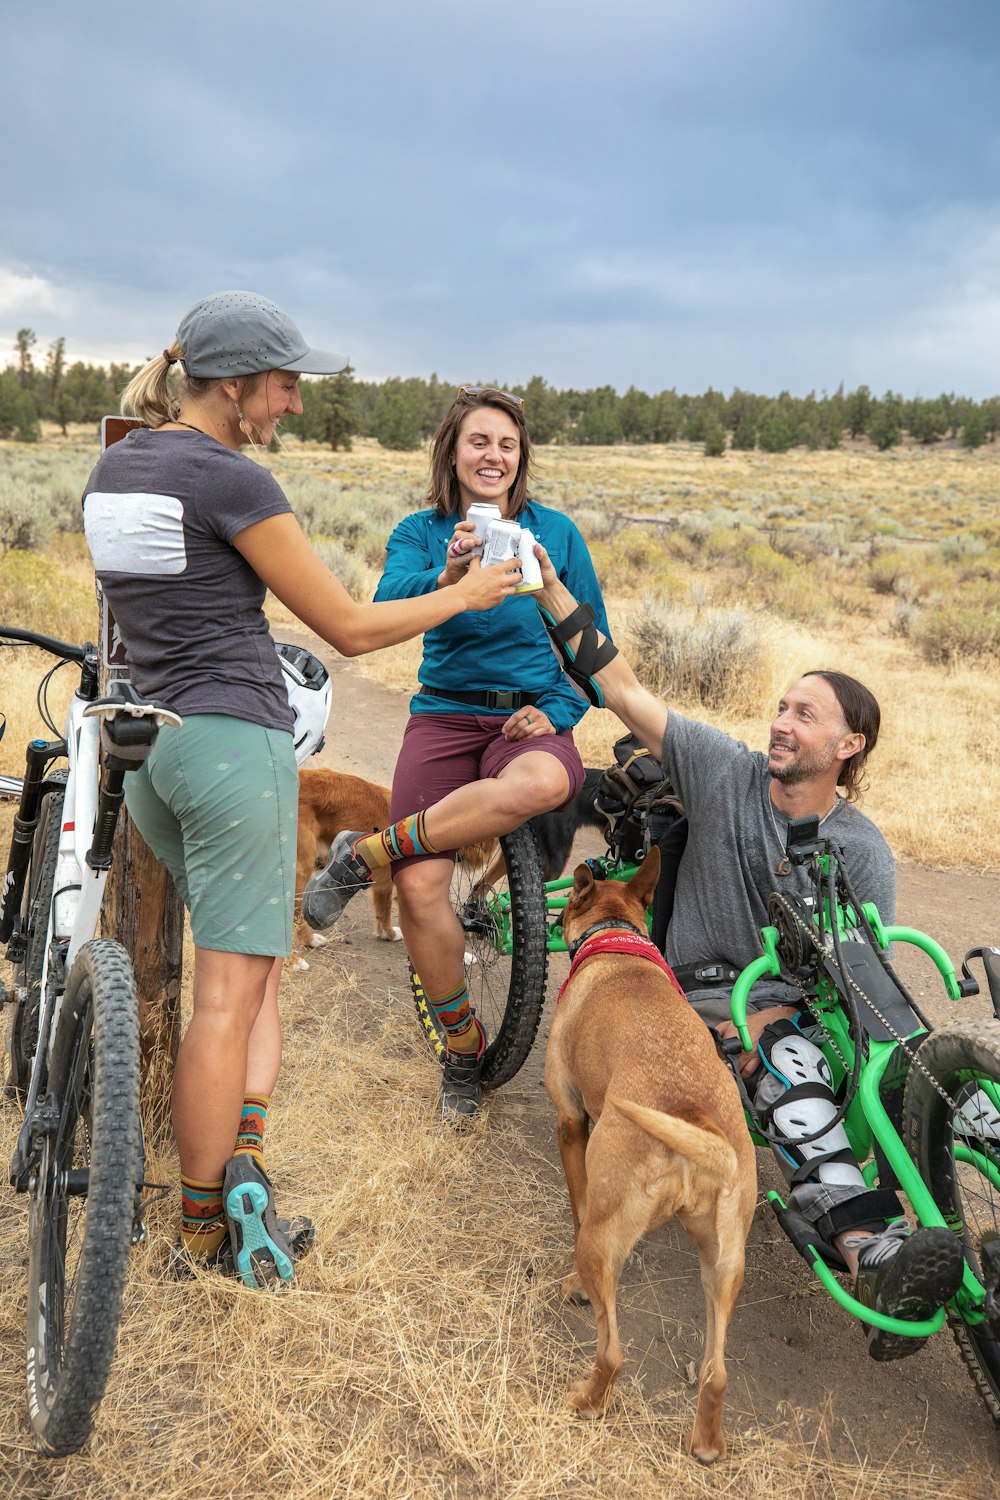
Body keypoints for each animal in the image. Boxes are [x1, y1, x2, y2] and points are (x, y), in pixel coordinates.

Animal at [542, 846, 755, 1464]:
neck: (614, 940)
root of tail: (694, 1122)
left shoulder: (571, 1122)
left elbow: (576, 1206)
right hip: (724, 1265)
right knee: (716, 1373)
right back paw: (706, 1443)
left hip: (605, 1240)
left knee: (613, 1352)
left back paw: (587, 1400)